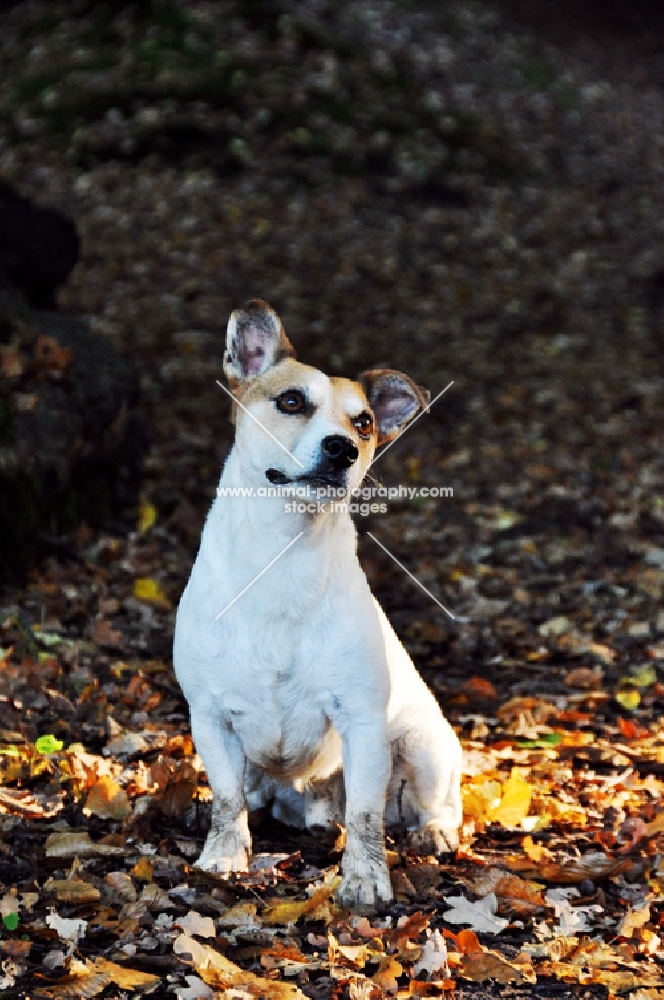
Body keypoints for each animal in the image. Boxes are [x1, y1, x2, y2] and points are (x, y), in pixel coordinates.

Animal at [172, 300, 462, 912]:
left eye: (364, 423)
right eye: (290, 401)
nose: (342, 449)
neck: (285, 557)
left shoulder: (362, 720)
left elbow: (368, 817)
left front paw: (365, 880)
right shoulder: (210, 716)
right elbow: (227, 800)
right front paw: (224, 857)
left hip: (423, 744)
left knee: (430, 804)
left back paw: (433, 831)